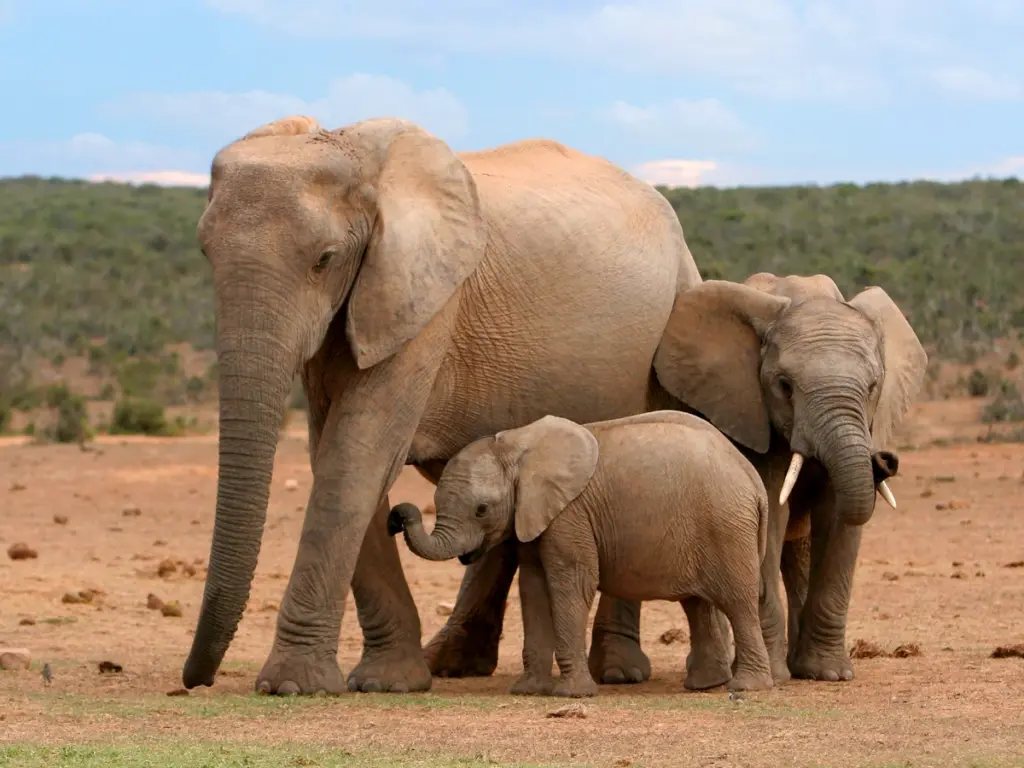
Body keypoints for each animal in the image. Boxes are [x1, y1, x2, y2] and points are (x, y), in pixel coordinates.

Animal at [178, 114, 704, 696]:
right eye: (204, 253)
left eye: (324, 260)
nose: (195, 680)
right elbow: (336, 455)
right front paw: (390, 682)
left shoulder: (425, 301)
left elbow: (355, 456)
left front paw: (293, 685)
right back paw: (453, 662)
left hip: (678, 306)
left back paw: (616, 673)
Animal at [387, 411, 770, 700]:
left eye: (482, 510)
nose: (395, 517)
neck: (517, 447)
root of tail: (754, 479)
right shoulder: (534, 517)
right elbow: (534, 589)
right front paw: (528, 691)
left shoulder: (569, 516)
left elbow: (570, 586)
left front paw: (572, 694)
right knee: (697, 604)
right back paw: (705, 685)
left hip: (726, 526)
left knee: (738, 602)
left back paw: (746, 686)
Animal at [432, 274, 929, 688]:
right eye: (784, 385)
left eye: (873, 386)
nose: (886, 461)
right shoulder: (750, 413)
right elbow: (775, 513)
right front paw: (786, 677)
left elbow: (842, 524)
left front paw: (829, 675)